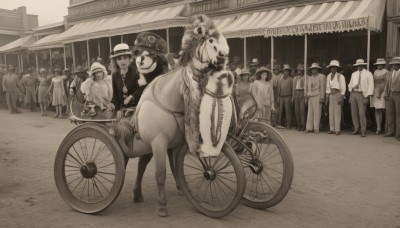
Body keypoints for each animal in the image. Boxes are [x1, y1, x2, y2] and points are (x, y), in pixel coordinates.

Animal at [114, 13, 230, 216]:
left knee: (140, 166)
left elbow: (177, 166)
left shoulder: (175, 144)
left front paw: (183, 188)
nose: (222, 58)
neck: (167, 100)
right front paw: (162, 206)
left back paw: (137, 194)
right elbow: (161, 173)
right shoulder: (159, 143)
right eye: (210, 40)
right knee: (126, 164)